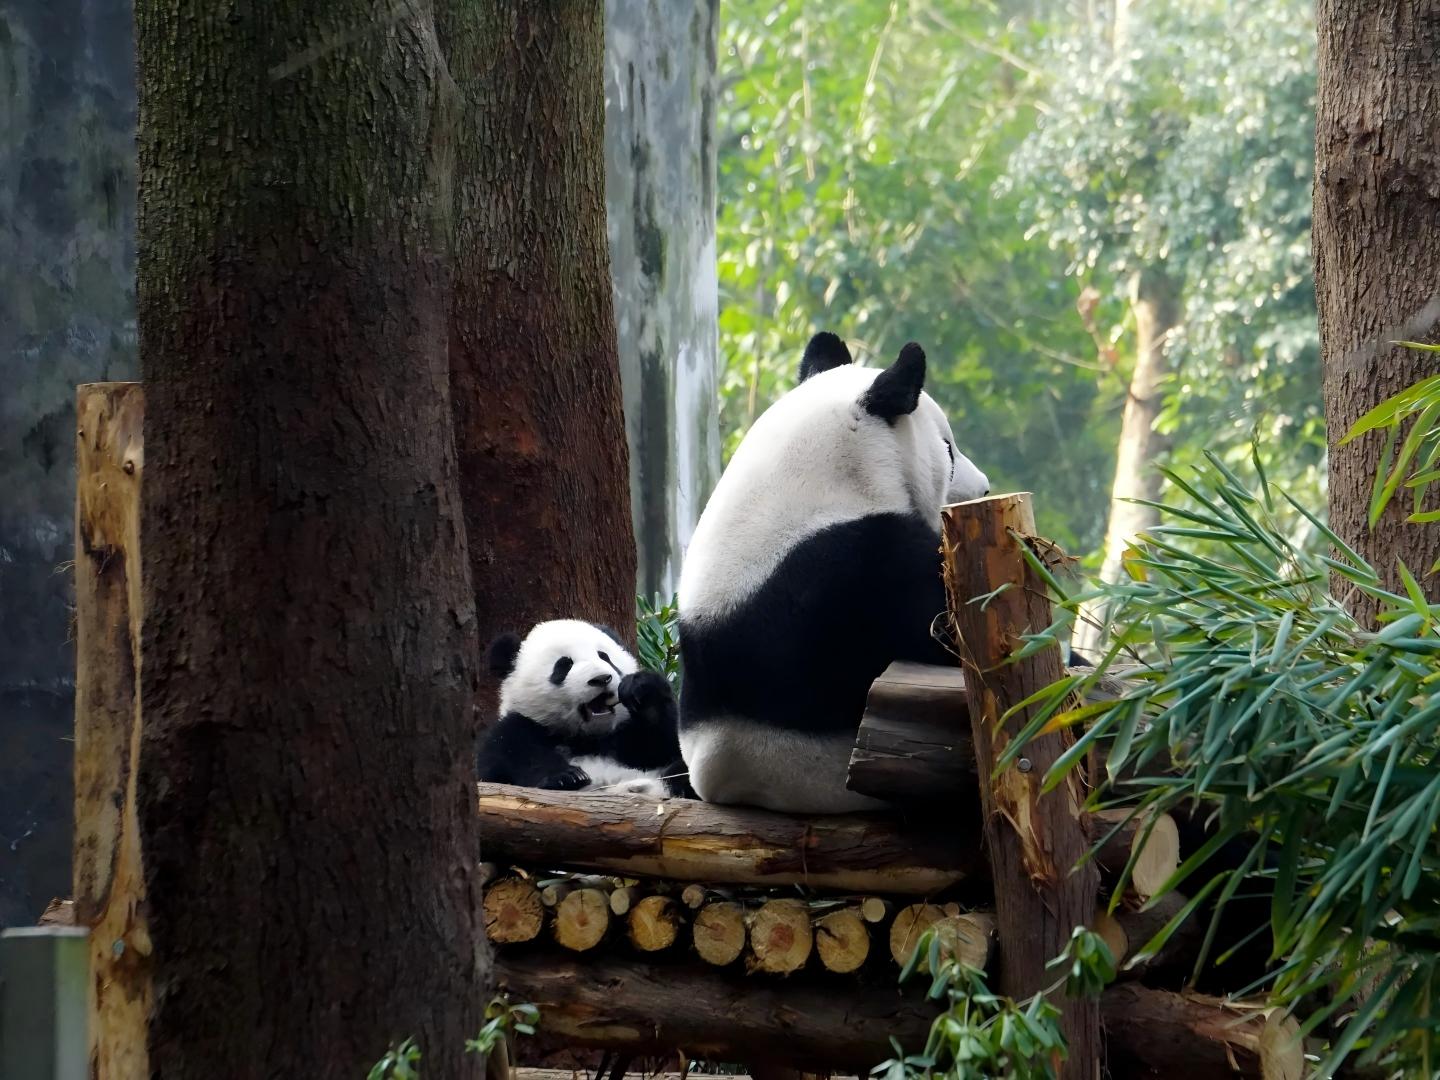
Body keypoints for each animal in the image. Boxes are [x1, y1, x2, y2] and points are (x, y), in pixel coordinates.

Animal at [475, 619, 690, 798]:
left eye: (605, 657)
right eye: (564, 665)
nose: (602, 678)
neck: (587, 738)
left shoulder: (626, 736)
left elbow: (668, 743)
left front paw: (642, 689)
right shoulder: (519, 726)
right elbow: (512, 753)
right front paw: (566, 777)